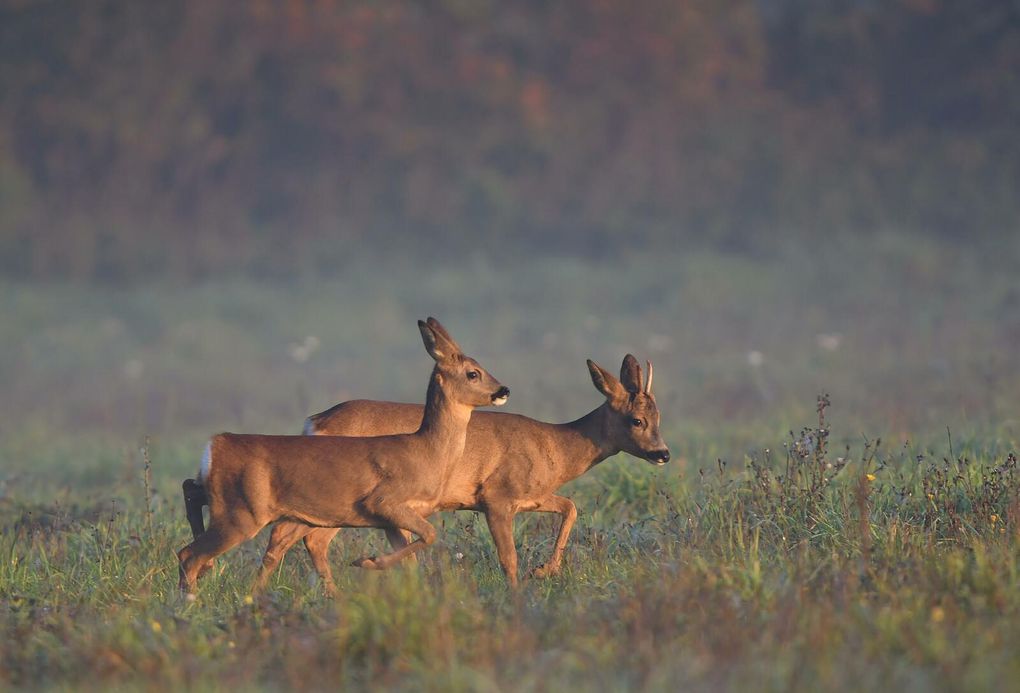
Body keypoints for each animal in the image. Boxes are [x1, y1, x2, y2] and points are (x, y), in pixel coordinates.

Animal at [177, 316, 510, 591]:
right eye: (473, 373)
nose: (503, 390)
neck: (428, 452)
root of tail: (215, 445)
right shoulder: (384, 501)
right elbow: (429, 535)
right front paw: (366, 561)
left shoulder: (389, 519)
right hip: (243, 512)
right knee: (189, 553)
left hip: (229, 501)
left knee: (190, 497)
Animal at [241, 355, 665, 587]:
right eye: (636, 420)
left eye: (659, 417)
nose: (664, 453)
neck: (555, 447)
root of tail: (314, 422)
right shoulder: (497, 496)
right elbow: (508, 556)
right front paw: (521, 592)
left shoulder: (533, 496)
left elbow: (571, 508)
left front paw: (544, 571)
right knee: (301, 538)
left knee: (291, 538)